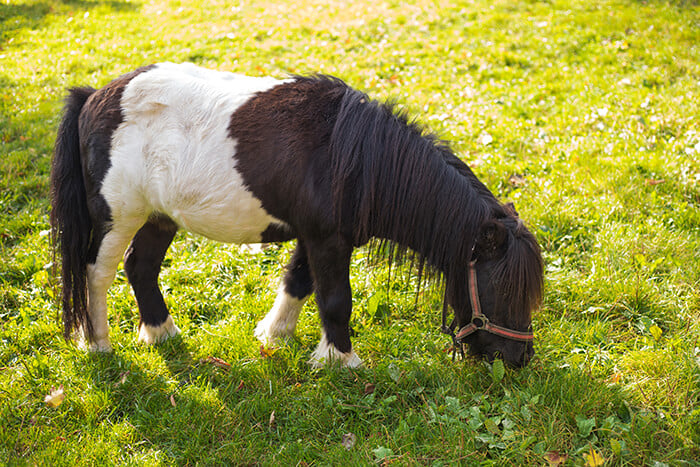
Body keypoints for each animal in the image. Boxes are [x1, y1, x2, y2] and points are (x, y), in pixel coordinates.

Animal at [52, 62, 544, 370]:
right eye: (505, 290)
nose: (521, 359)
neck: (355, 159)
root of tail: (93, 97)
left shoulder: (315, 236)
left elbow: (298, 283)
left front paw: (275, 335)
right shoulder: (327, 240)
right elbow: (336, 299)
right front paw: (342, 361)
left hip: (159, 217)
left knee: (141, 267)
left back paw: (161, 333)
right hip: (119, 217)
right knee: (97, 272)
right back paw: (97, 344)